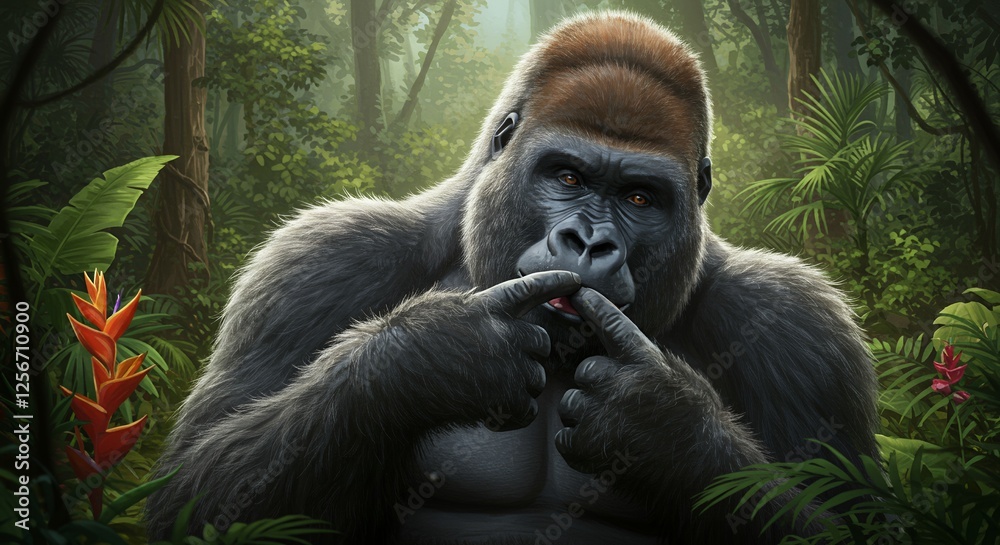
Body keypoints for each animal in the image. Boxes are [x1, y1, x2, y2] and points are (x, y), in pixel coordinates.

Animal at [146, 11, 878, 544]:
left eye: (640, 197)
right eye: (568, 176)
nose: (589, 241)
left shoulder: (796, 327)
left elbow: (843, 517)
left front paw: (665, 425)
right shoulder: (320, 264)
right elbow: (194, 496)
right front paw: (427, 359)